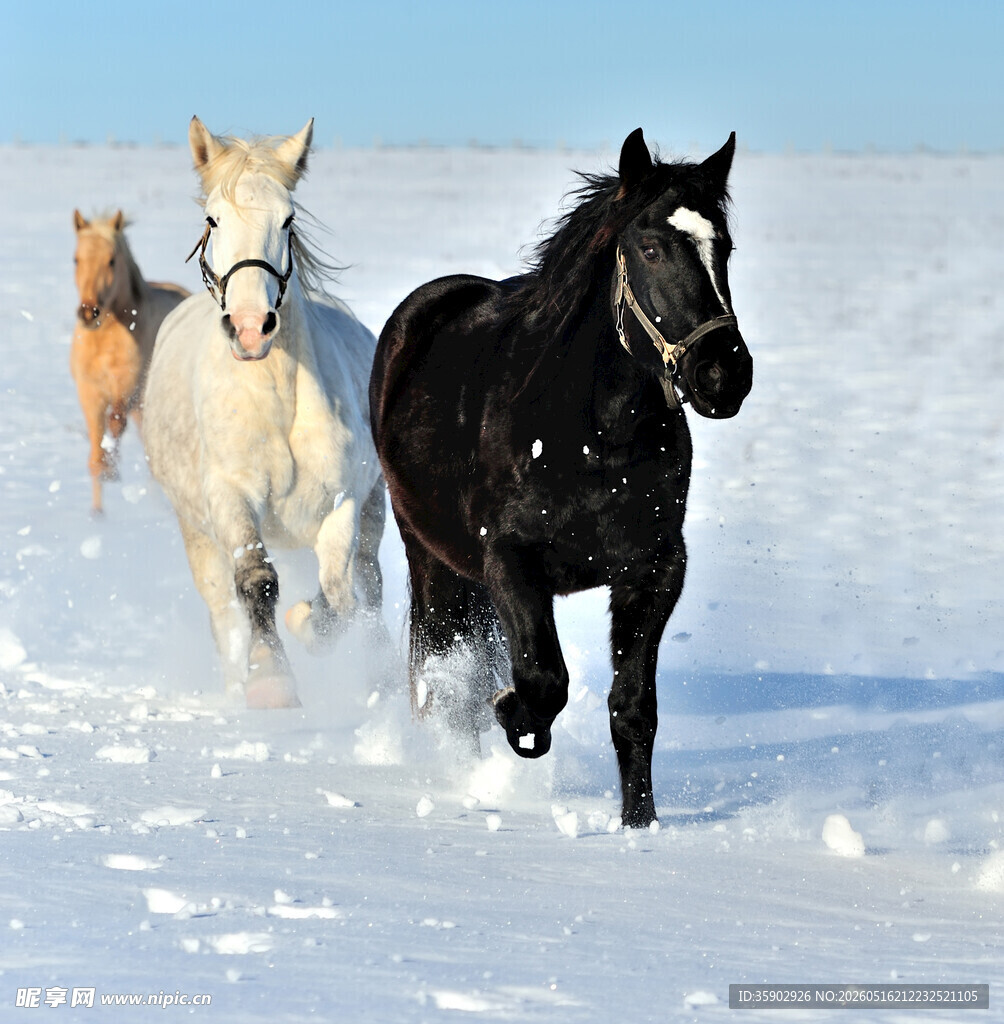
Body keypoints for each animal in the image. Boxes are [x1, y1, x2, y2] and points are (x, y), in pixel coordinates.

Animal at [70, 210, 188, 512]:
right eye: (76, 259)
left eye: (111, 260)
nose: (89, 312)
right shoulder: (89, 392)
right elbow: (94, 448)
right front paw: (97, 514)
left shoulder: (127, 386)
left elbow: (114, 423)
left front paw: (111, 468)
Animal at [143, 117, 385, 709]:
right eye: (213, 218)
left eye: (288, 219)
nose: (251, 327)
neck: (276, 402)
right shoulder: (231, 497)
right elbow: (256, 579)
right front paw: (270, 678)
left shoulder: (343, 502)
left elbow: (340, 594)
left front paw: (305, 626)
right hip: (196, 531)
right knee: (222, 608)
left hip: (374, 513)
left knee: (369, 588)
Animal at [370, 128, 754, 827]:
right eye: (650, 247)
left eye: (725, 247)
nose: (723, 373)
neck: (592, 437)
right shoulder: (510, 559)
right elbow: (542, 680)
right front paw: (512, 716)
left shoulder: (655, 568)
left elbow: (632, 708)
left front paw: (640, 825)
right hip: (431, 556)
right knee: (440, 666)